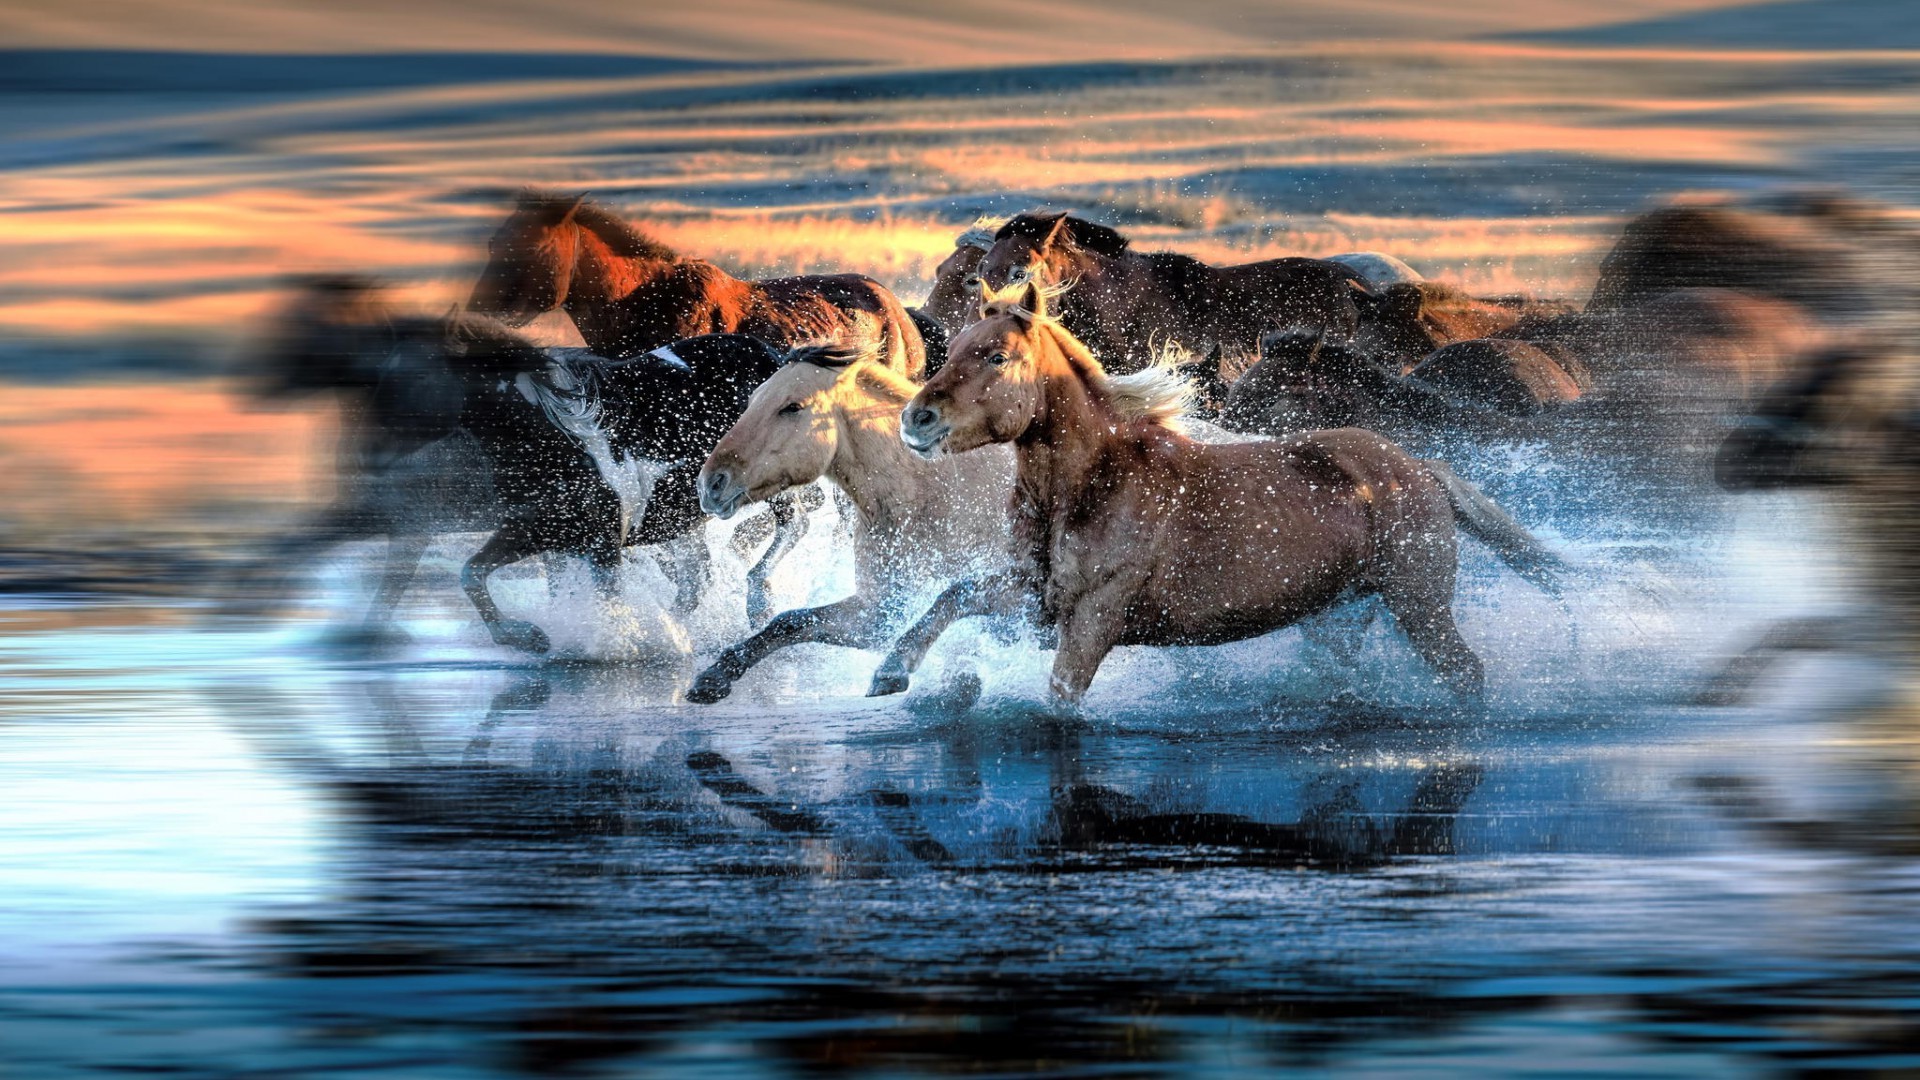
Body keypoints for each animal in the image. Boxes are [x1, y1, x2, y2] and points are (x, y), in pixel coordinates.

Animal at [684, 339, 1017, 703]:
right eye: (752, 400)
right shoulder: (880, 611)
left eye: (792, 407)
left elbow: (956, 596)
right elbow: (790, 622)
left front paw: (892, 670)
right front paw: (715, 676)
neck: (931, 495)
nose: (711, 484)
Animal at [884, 277, 1564, 706]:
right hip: (1338, 619)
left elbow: (1059, 697)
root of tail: (1418, 467)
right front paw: (889, 675)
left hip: (1419, 605)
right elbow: (952, 596)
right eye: (955, 349)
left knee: (1466, 673)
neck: (1094, 485)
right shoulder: (1035, 597)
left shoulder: (1095, 617)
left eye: (996, 356)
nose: (916, 418)